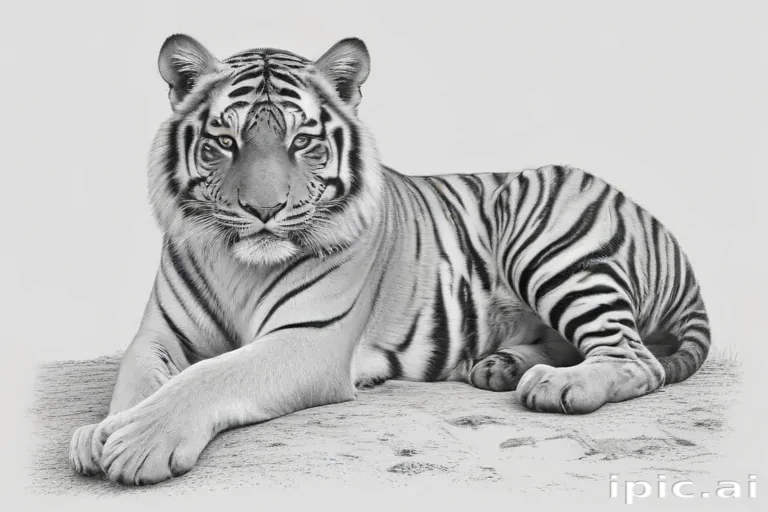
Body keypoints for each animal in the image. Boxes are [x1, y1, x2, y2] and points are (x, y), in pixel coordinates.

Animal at [69, 34, 711, 486]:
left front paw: (137, 442)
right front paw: (98, 432)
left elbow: (211, 376)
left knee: (635, 358)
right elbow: (138, 381)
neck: (239, 265)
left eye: (303, 142)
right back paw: (501, 367)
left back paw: (556, 385)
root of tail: (659, 225)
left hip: (550, 240)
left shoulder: (309, 339)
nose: (264, 210)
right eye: (225, 142)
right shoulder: (158, 335)